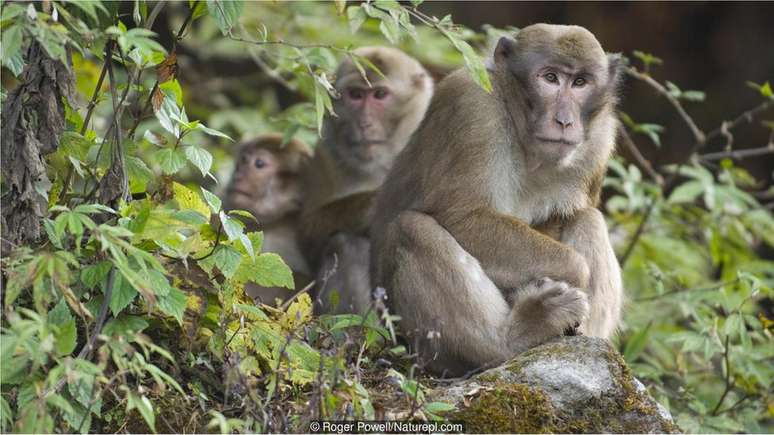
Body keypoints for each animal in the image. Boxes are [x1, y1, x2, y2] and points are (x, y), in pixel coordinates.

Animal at [302, 46, 436, 316]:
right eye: (355, 95)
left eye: (380, 94)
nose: (364, 123)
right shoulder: (325, 153)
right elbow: (308, 232)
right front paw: (373, 206)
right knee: (345, 245)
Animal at [368, 24, 624, 378]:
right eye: (550, 78)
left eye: (581, 82)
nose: (565, 121)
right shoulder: (473, 106)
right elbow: (462, 216)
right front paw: (575, 271)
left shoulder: (600, 139)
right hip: (424, 347)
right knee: (411, 229)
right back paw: (516, 336)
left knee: (588, 217)